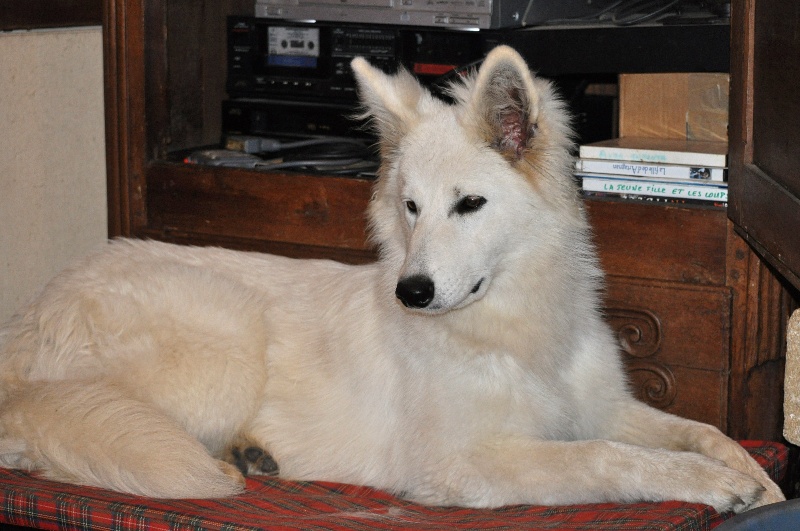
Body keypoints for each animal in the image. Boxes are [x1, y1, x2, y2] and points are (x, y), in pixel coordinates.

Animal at [0, 47, 784, 512]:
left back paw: (249, 453)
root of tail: (32, 316)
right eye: (410, 207)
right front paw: (714, 487)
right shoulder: (465, 462)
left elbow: (704, 429)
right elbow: (606, 457)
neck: (515, 326)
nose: (412, 292)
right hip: (223, 341)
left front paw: (758, 477)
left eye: (469, 204)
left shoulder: (599, 407)